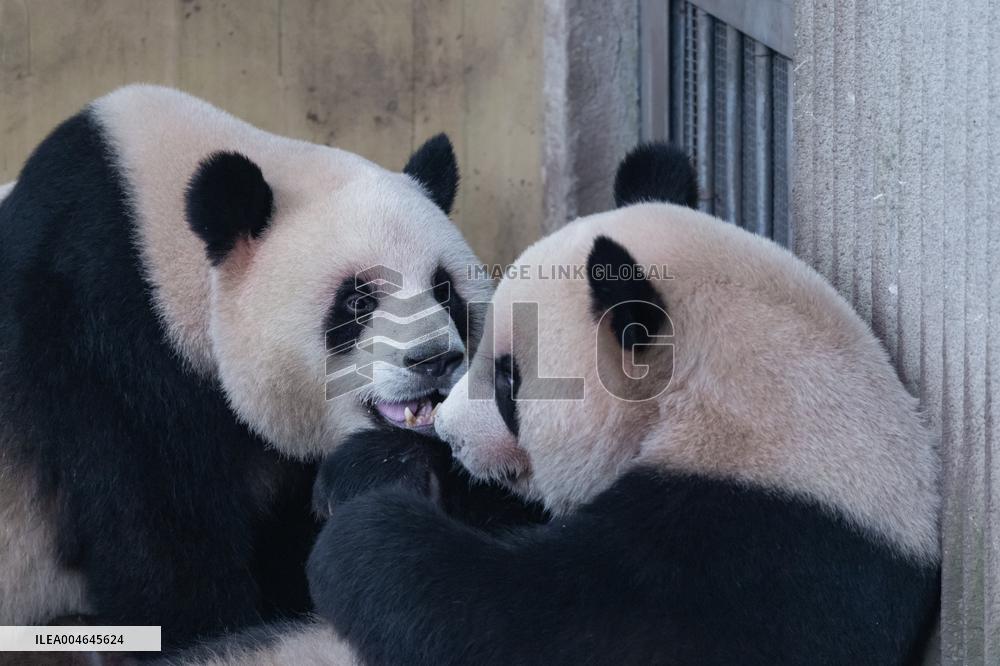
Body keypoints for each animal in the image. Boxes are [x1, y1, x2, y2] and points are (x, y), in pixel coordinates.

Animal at [305, 144, 942, 665]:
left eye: (509, 381)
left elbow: (549, 628)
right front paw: (376, 468)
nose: (449, 431)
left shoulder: (763, 554)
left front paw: (362, 537)